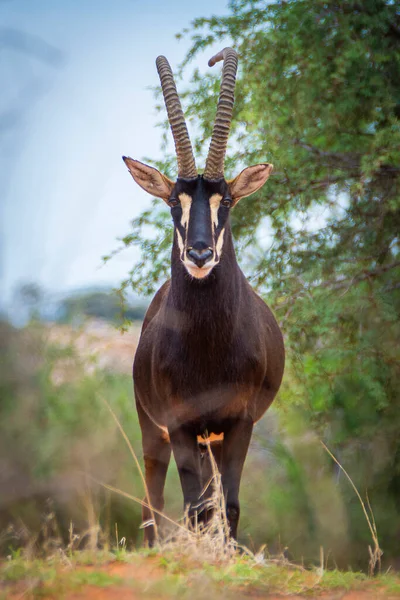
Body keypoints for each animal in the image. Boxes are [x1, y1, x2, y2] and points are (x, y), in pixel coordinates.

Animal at [123, 48, 282, 544]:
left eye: (225, 200)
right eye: (174, 200)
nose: (199, 253)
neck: (208, 344)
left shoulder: (238, 423)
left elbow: (227, 507)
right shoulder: (178, 424)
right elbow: (195, 508)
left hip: (210, 439)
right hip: (155, 431)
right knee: (152, 501)